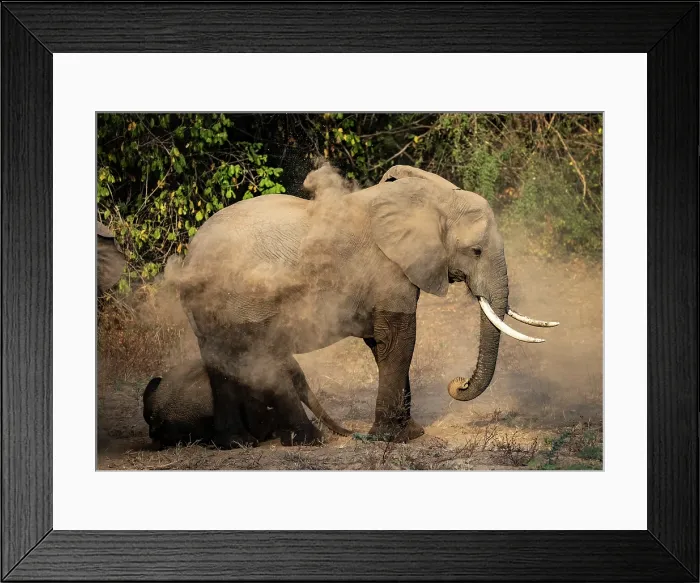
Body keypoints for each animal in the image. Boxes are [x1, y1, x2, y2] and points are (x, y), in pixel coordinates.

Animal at [173, 165, 558, 449]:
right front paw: (390, 439)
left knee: (222, 361)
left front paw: (409, 434)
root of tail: (187, 256)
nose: (457, 383)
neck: (431, 201)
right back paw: (288, 442)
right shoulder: (387, 268)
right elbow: (398, 339)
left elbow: (383, 343)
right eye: (476, 251)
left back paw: (237, 443)